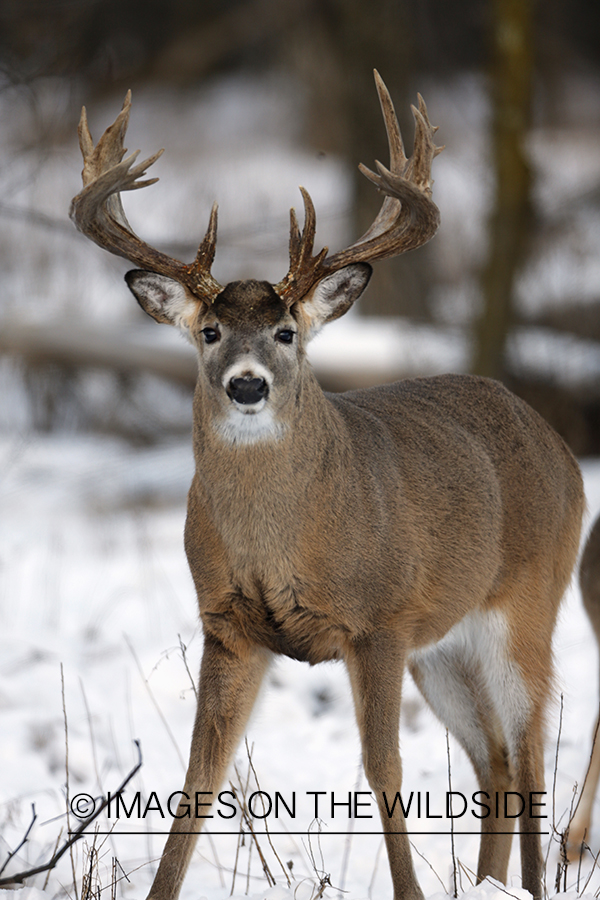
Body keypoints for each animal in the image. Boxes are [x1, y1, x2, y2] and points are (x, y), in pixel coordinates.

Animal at [69, 72, 580, 900]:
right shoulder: (228, 622)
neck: (285, 542)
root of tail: (558, 445)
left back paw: (532, 885)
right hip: (445, 645)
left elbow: (385, 769)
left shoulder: (379, 620)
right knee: (496, 760)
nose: (247, 385)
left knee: (532, 744)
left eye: (287, 332)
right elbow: (198, 778)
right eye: (210, 332)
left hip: (529, 599)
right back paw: (490, 882)